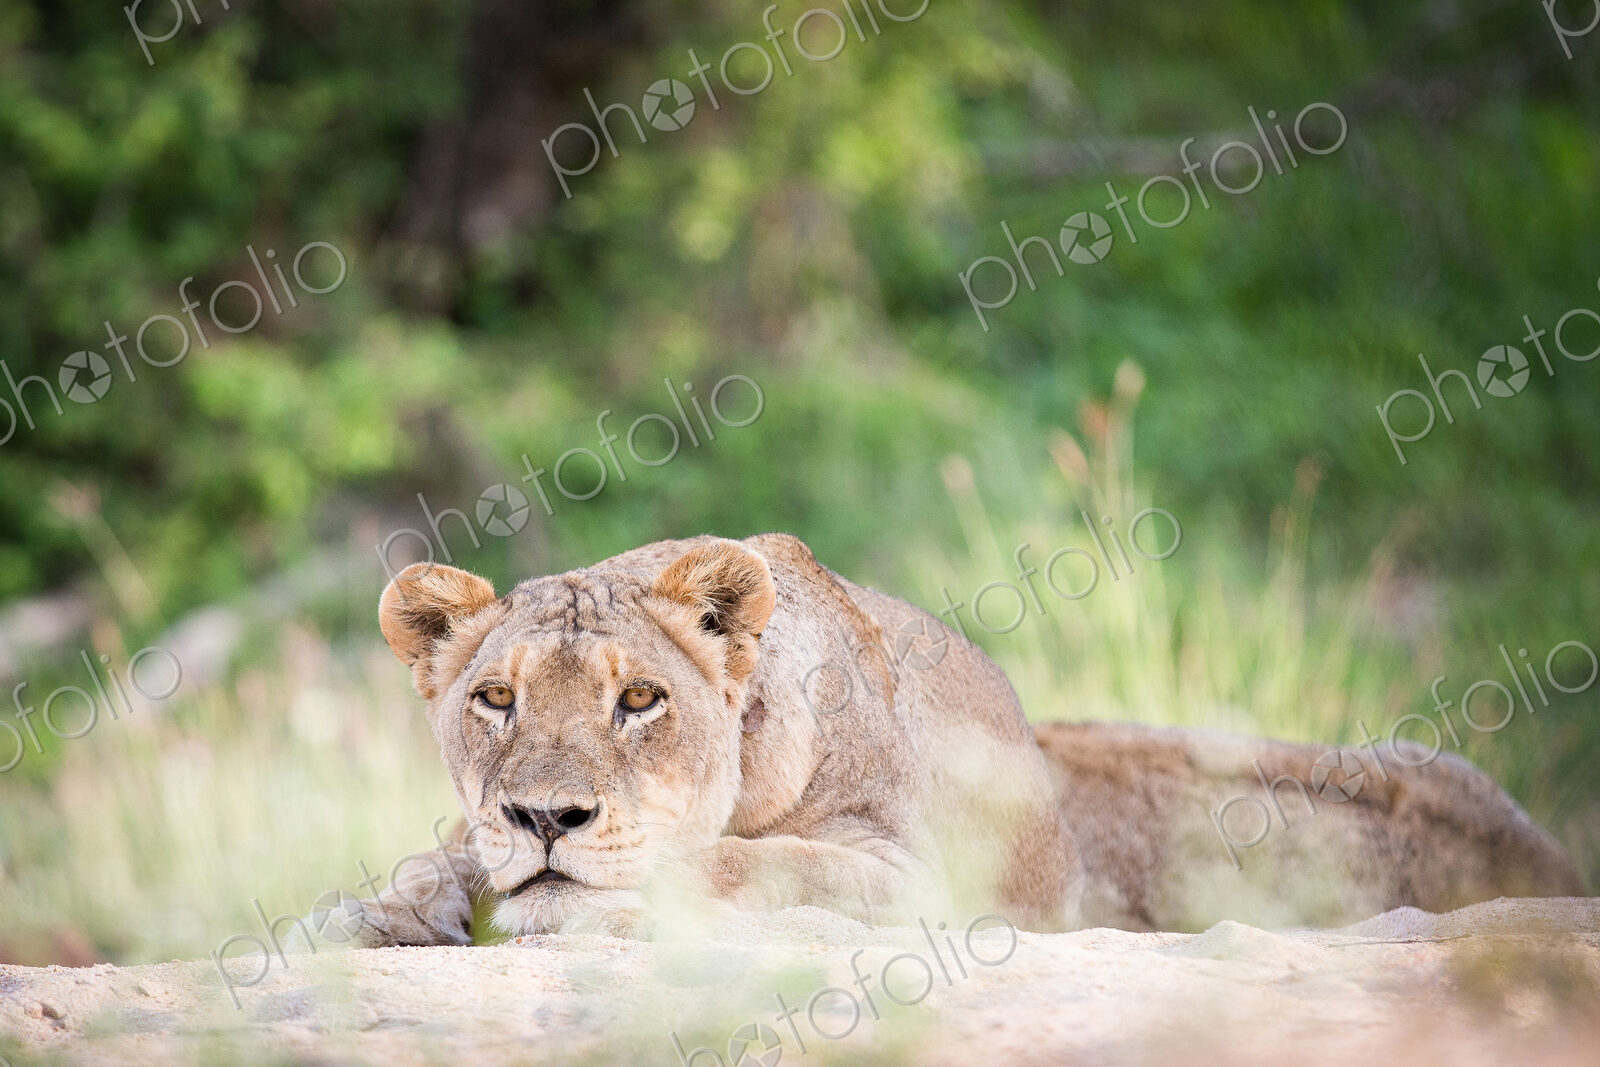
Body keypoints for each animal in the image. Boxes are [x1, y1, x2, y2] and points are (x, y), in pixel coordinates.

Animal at [351, 533, 1582, 946]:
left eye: (641, 700)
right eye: (495, 698)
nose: (544, 816)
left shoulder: (914, 882)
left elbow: (743, 862)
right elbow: (439, 852)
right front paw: (401, 898)